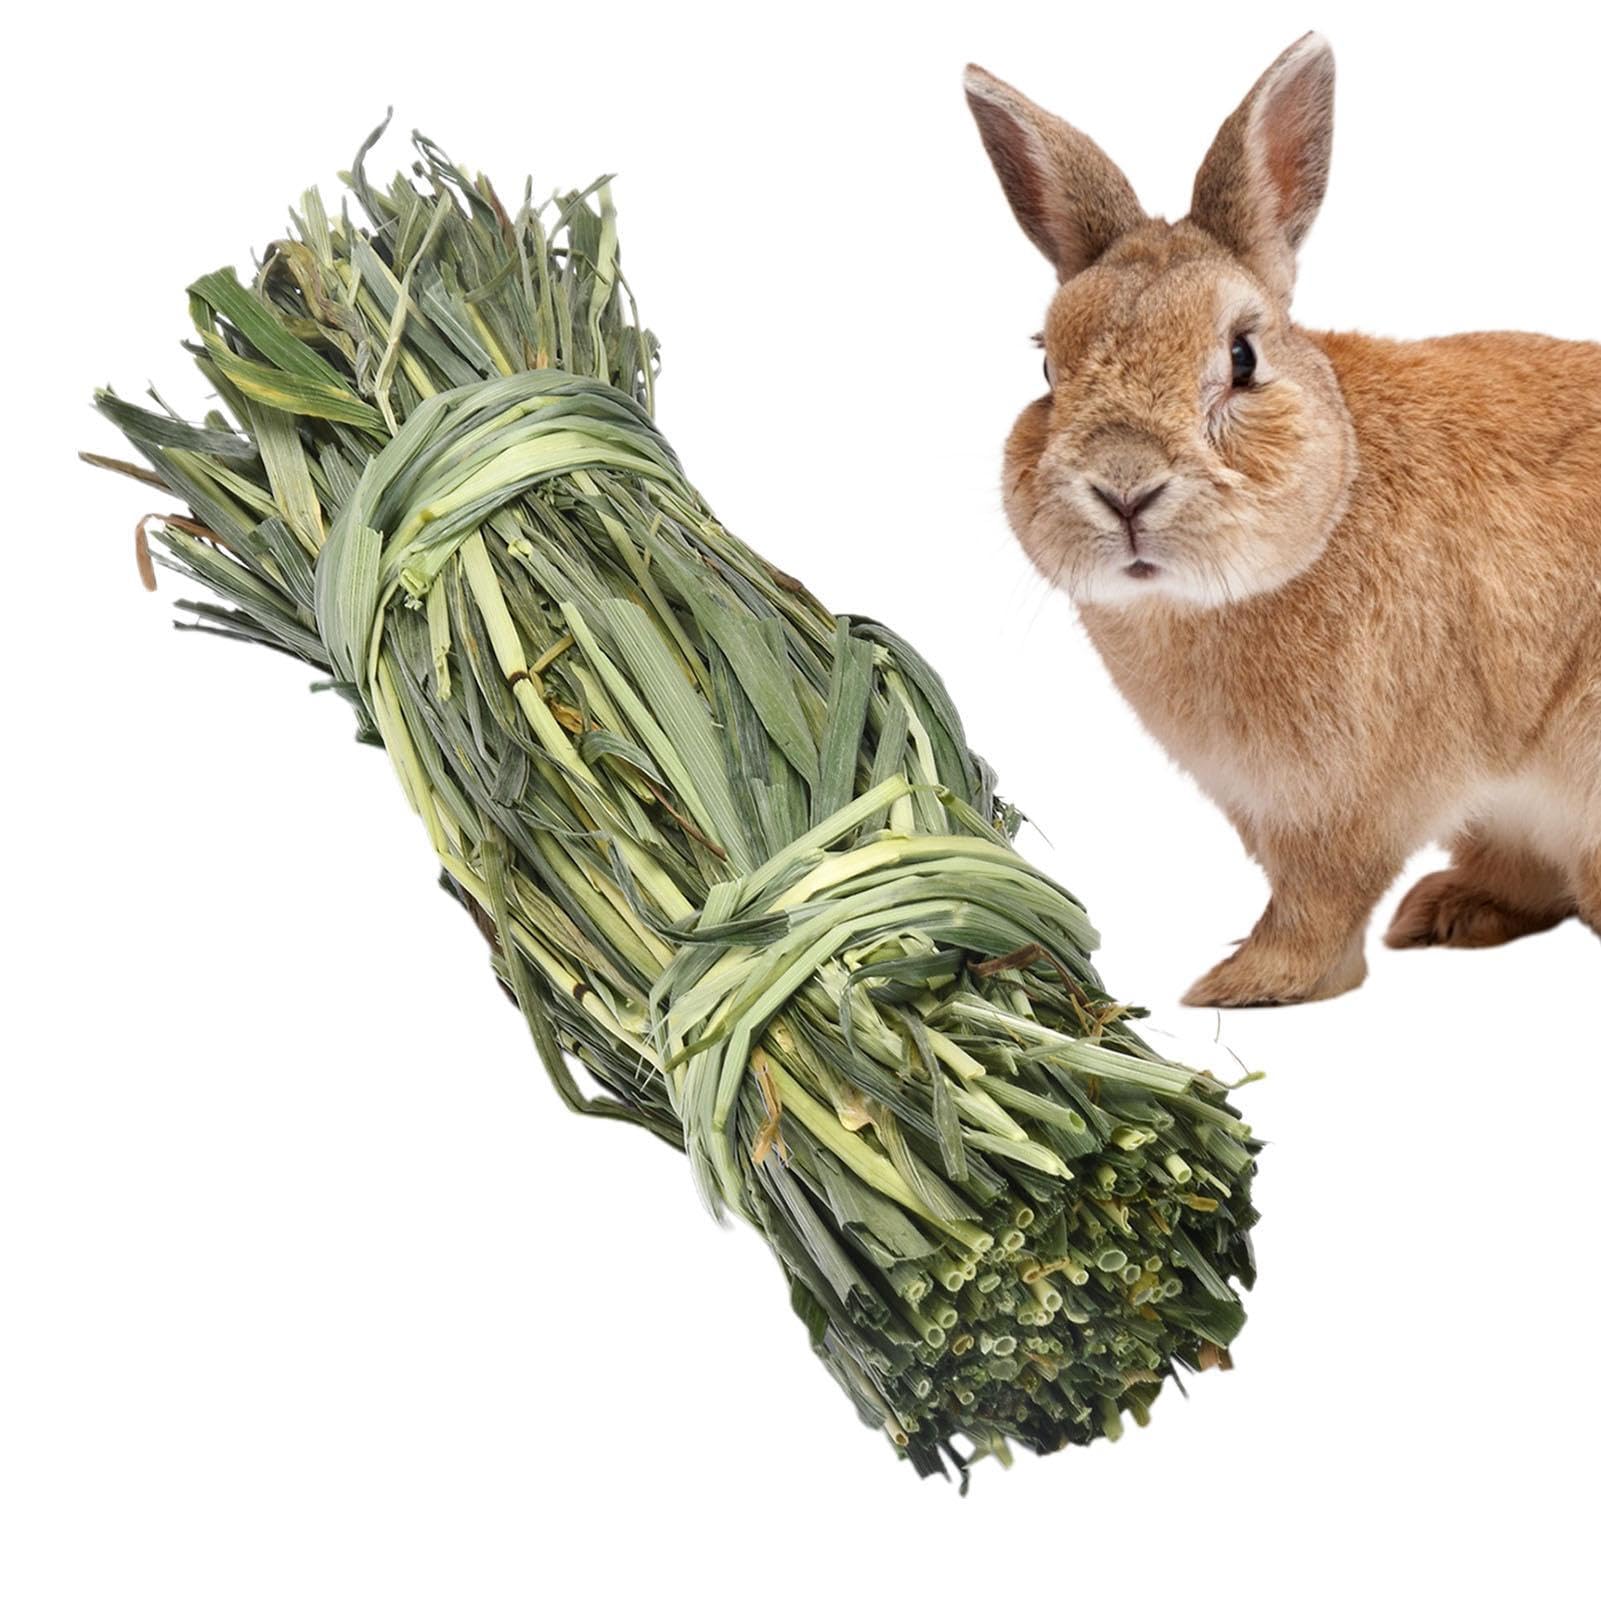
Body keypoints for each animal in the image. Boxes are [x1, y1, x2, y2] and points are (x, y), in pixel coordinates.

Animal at [965, 32, 1601, 1007]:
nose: (1123, 488)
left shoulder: (1351, 801)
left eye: (1241, 356)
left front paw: (1239, 984)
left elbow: (1318, 903)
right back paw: (1445, 913)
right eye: (1046, 368)